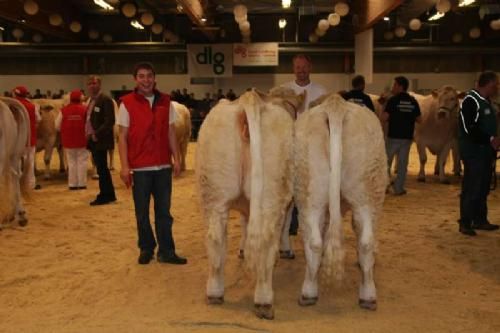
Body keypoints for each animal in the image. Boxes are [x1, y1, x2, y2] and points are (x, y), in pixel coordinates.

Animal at [197, 88, 302, 320]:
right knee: (266, 241)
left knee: (215, 239)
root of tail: (249, 99)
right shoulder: (288, 202)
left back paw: (214, 293)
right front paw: (286, 251)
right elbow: (284, 226)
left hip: (215, 193)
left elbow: (245, 224)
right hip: (272, 196)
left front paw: (243, 249)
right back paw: (264, 300)